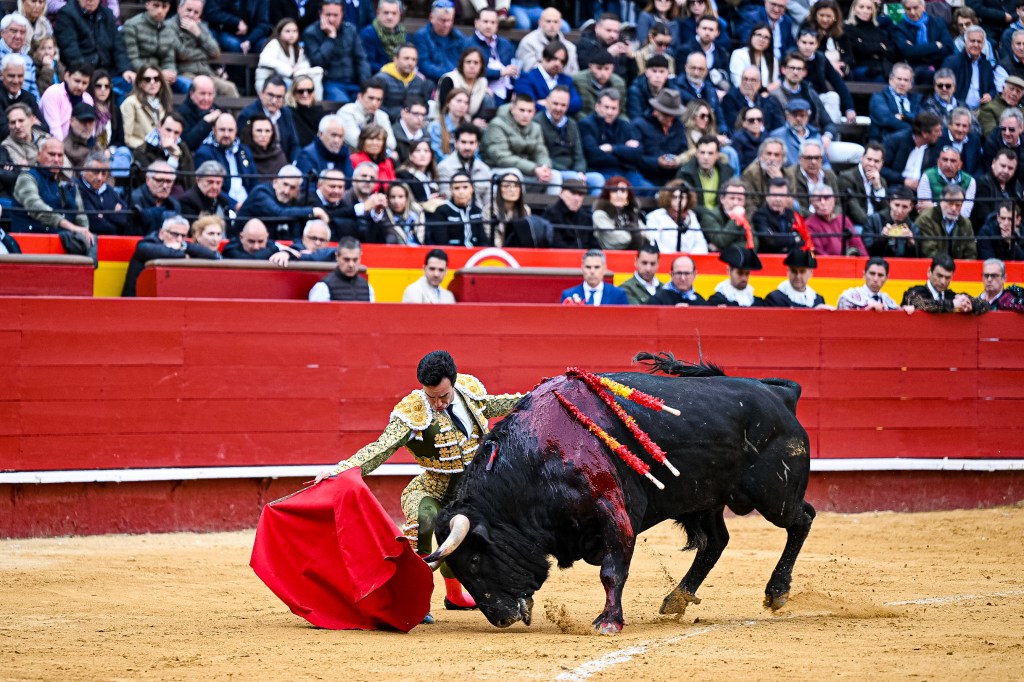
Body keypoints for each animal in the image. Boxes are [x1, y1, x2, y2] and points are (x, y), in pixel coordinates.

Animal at [424, 352, 816, 634]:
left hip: (773, 495)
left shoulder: (610, 506)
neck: (536, 455)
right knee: (716, 541)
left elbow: (612, 570)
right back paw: (677, 599)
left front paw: (609, 622)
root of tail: (781, 394)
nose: (501, 617)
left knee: (802, 518)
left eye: (476, 560)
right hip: (703, 501)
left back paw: (777, 592)